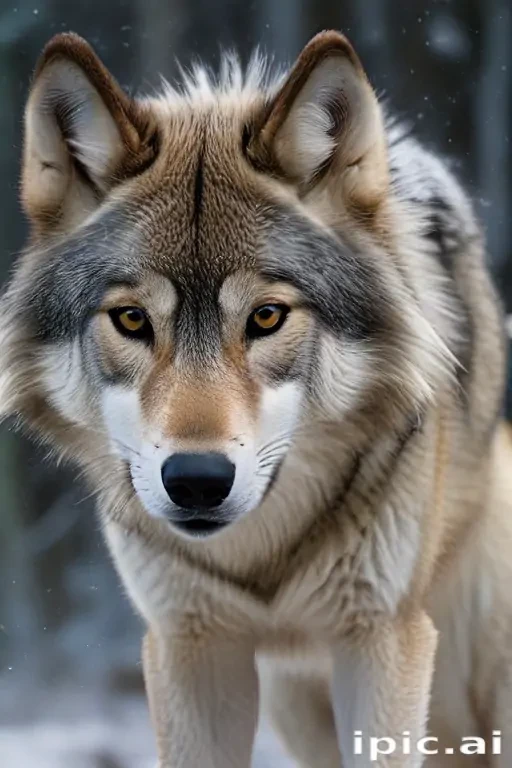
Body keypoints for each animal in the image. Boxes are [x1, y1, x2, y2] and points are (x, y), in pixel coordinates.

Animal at [1, 28, 511, 768]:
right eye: (131, 320)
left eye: (267, 317)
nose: (196, 480)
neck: (260, 564)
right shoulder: (192, 647)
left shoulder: (383, 639)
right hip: (299, 707)